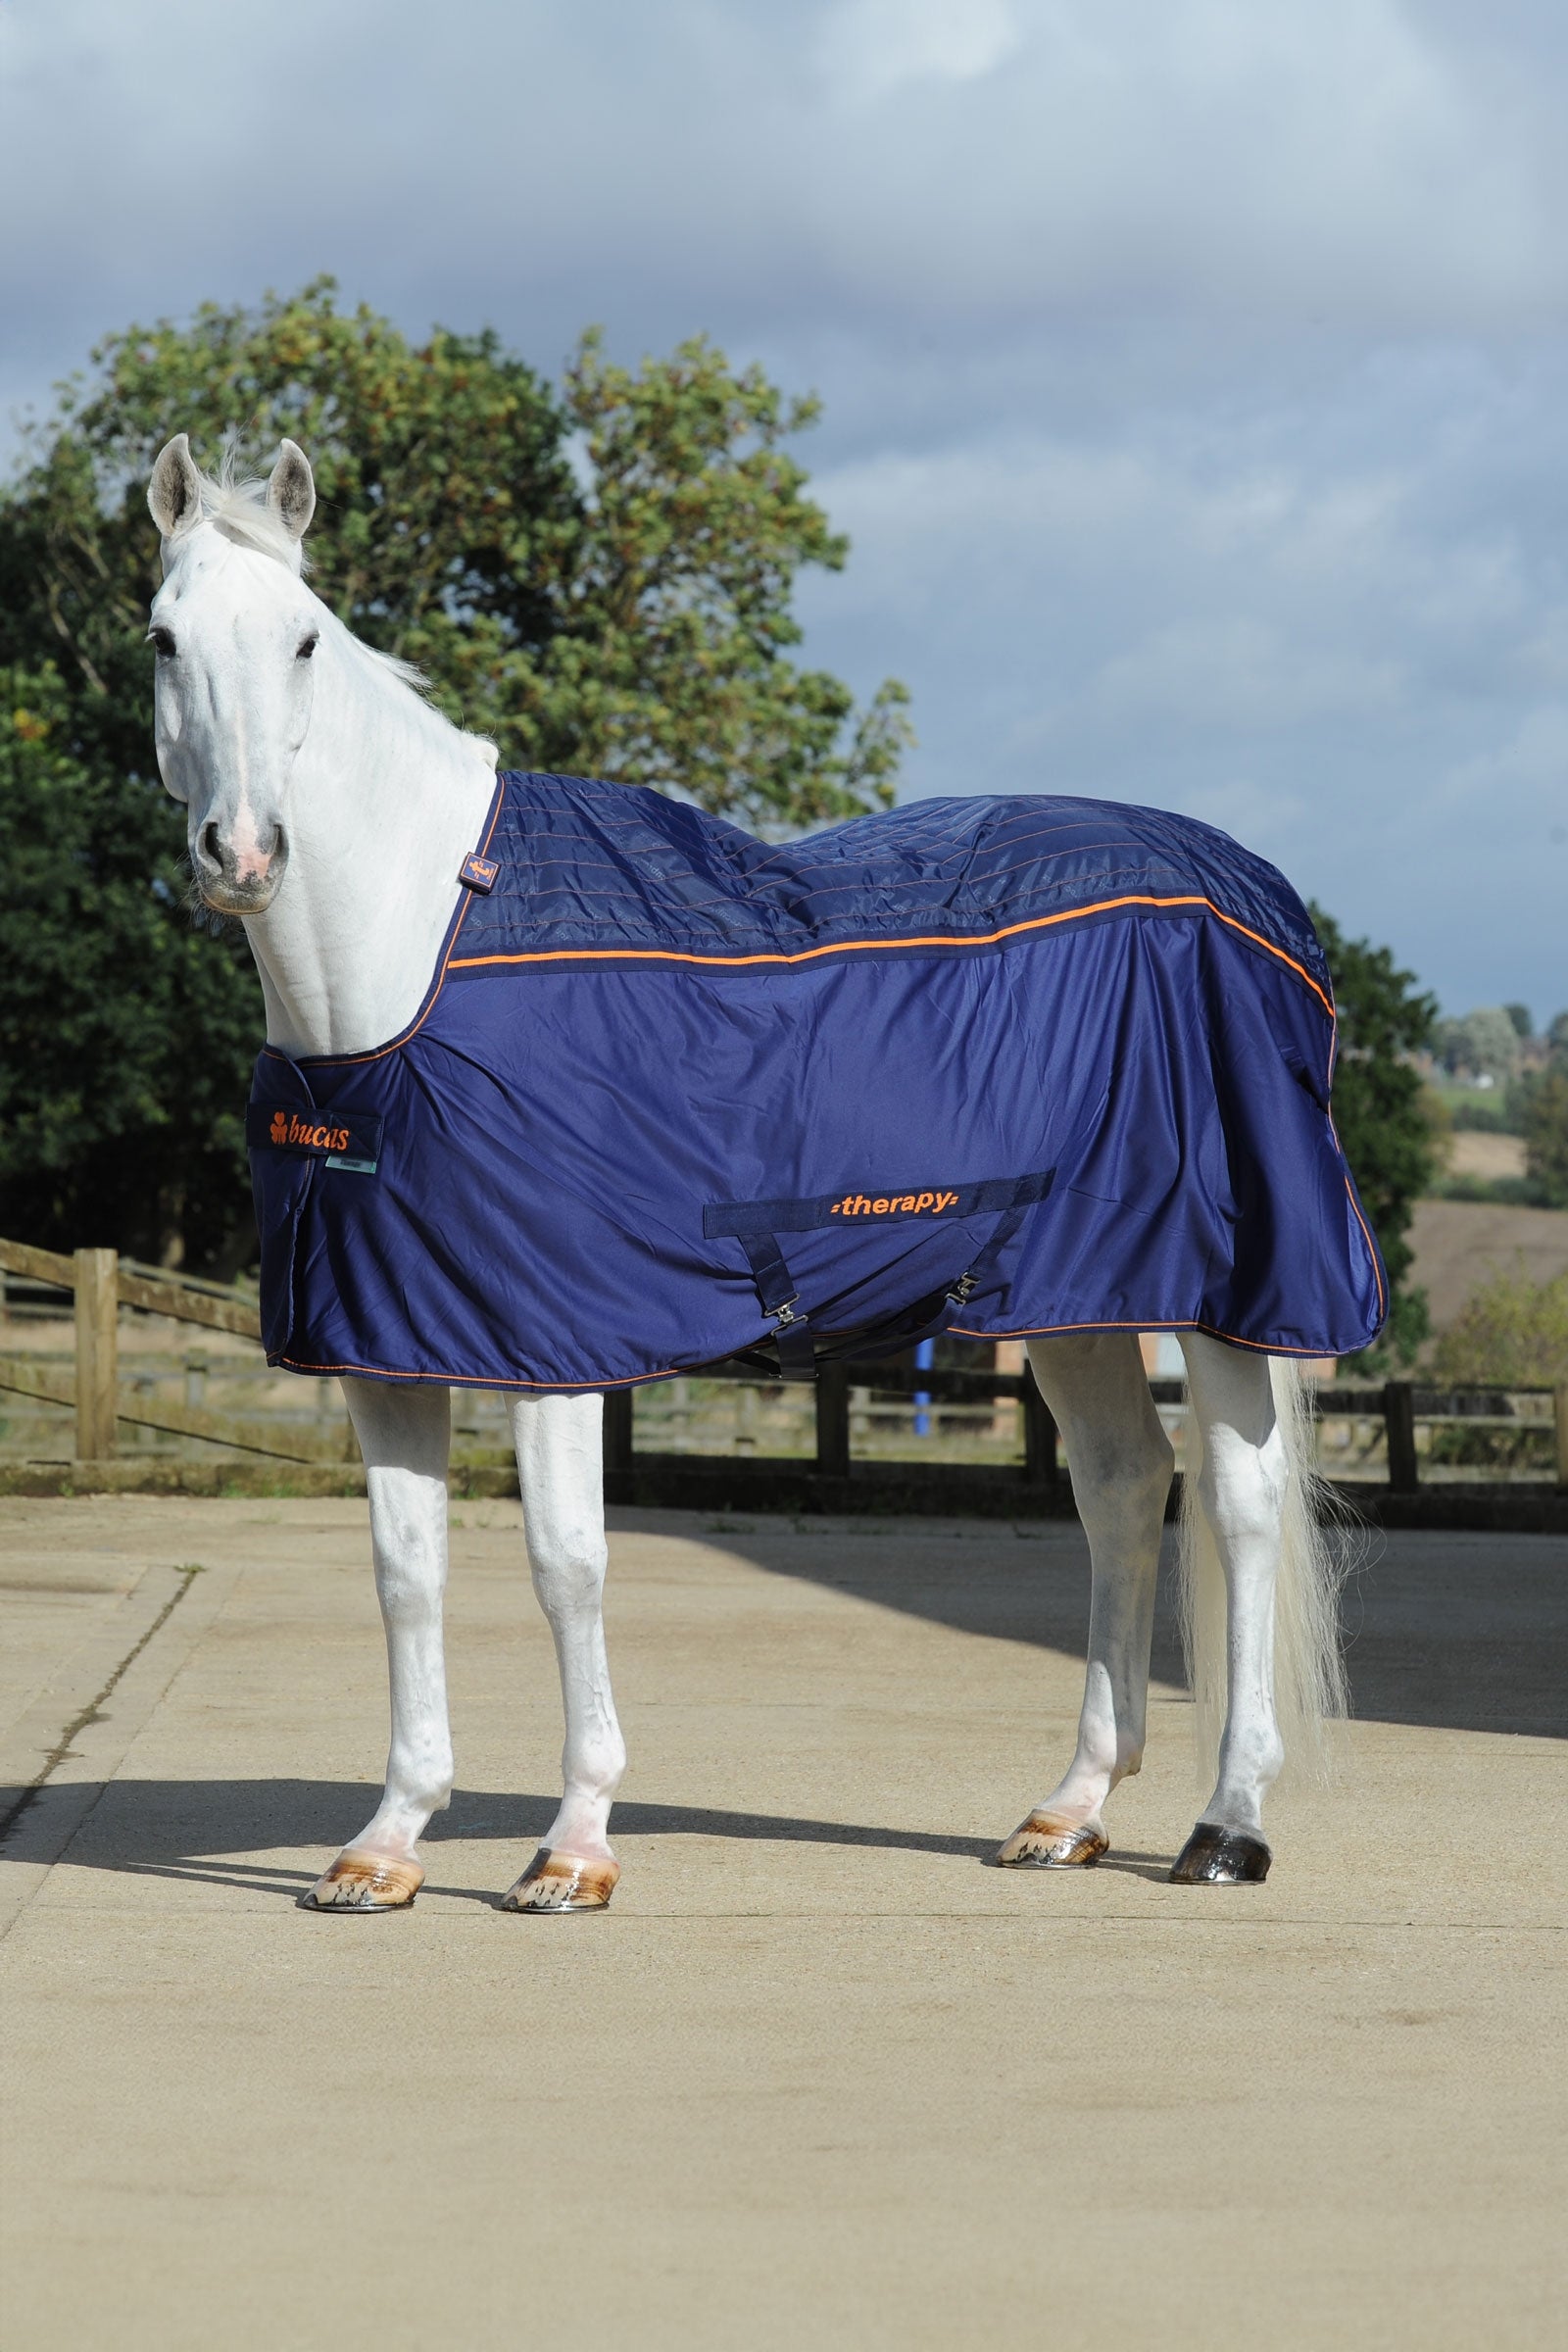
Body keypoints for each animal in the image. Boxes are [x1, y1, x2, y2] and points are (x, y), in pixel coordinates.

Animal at [145, 431, 1362, 1913]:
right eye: (162, 639)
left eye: (307, 639)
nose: (244, 853)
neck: (423, 947)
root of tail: (1254, 891)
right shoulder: (384, 1340)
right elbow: (405, 1574)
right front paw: (386, 1844)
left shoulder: (553, 1345)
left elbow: (566, 1566)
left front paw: (574, 1846)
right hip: (1066, 1294)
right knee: (1126, 1489)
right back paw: (1068, 1810)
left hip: (1227, 1293)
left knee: (1236, 1509)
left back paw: (1227, 1824)